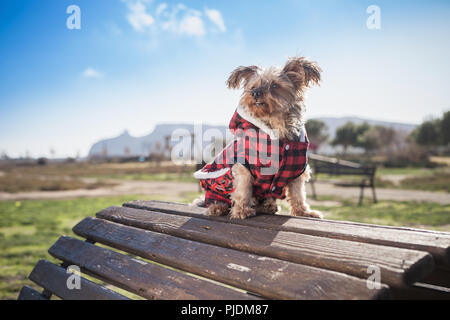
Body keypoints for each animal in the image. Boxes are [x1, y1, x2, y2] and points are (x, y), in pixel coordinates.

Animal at [193, 55, 324, 220]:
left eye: (274, 85)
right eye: (253, 86)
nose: (254, 93)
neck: (276, 125)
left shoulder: (296, 170)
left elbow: (298, 194)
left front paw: (304, 212)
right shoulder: (244, 166)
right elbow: (243, 190)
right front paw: (241, 211)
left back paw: (267, 206)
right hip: (215, 189)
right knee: (214, 200)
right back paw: (217, 207)